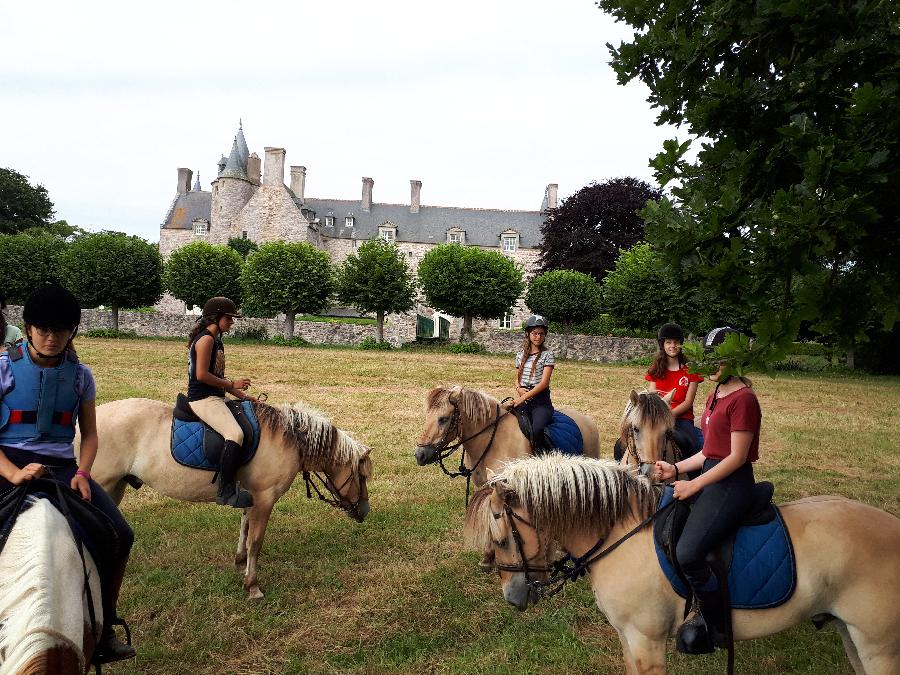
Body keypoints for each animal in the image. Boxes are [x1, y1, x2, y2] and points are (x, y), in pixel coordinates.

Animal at [80, 398, 370, 600]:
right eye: (363, 476)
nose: (365, 511)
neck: (288, 439)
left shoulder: (251, 496)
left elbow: (244, 530)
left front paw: (239, 562)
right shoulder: (265, 499)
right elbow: (256, 541)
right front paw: (252, 585)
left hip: (114, 490)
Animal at [468, 454, 900, 675]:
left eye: (503, 536)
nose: (513, 597)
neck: (620, 533)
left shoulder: (646, 641)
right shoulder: (629, 639)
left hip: (879, 646)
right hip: (851, 633)